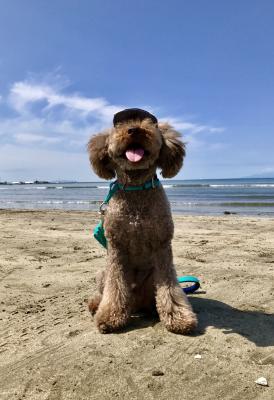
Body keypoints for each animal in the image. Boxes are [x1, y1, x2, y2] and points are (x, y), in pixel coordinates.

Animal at [88, 108, 197, 332]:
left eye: (149, 123)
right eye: (120, 125)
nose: (135, 130)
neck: (136, 186)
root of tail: (136, 302)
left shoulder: (162, 246)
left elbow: (170, 287)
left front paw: (177, 317)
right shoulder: (116, 249)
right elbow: (115, 287)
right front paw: (109, 316)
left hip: (149, 280)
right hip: (102, 273)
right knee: (104, 291)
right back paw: (95, 305)